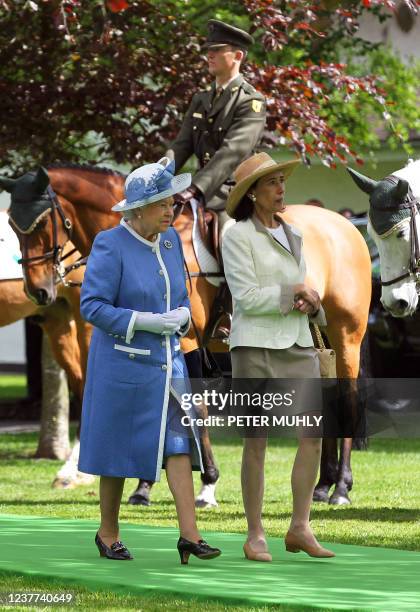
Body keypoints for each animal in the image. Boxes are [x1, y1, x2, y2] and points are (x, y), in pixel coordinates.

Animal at [2, 165, 370, 504]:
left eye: (40, 224)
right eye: (13, 227)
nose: (38, 291)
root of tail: (344, 224)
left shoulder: (189, 340)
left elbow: (192, 407)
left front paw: (206, 483)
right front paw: (146, 485)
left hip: (346, 334)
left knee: (348, 395)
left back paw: (341, 487)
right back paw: (322, 484)